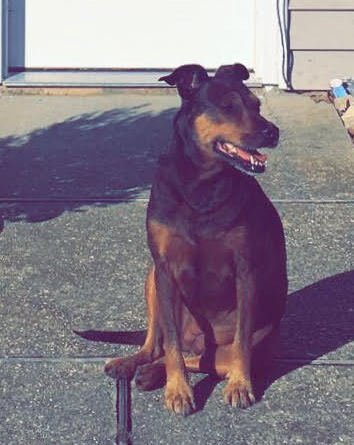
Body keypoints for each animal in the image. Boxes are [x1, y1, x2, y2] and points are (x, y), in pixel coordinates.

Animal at [104, 63, 288, 416]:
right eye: (228, 107)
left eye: (256, 105)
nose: (272, 131)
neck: (201, 183)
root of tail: (200, 340)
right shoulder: (165, 270)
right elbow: (172, 346)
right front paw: (178, 391)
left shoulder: (246, 270)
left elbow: (241, 342)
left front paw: (241, 386)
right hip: (151, 278)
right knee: (159, 345)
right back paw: (132, 365)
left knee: (207, 360)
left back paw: (152, 373)